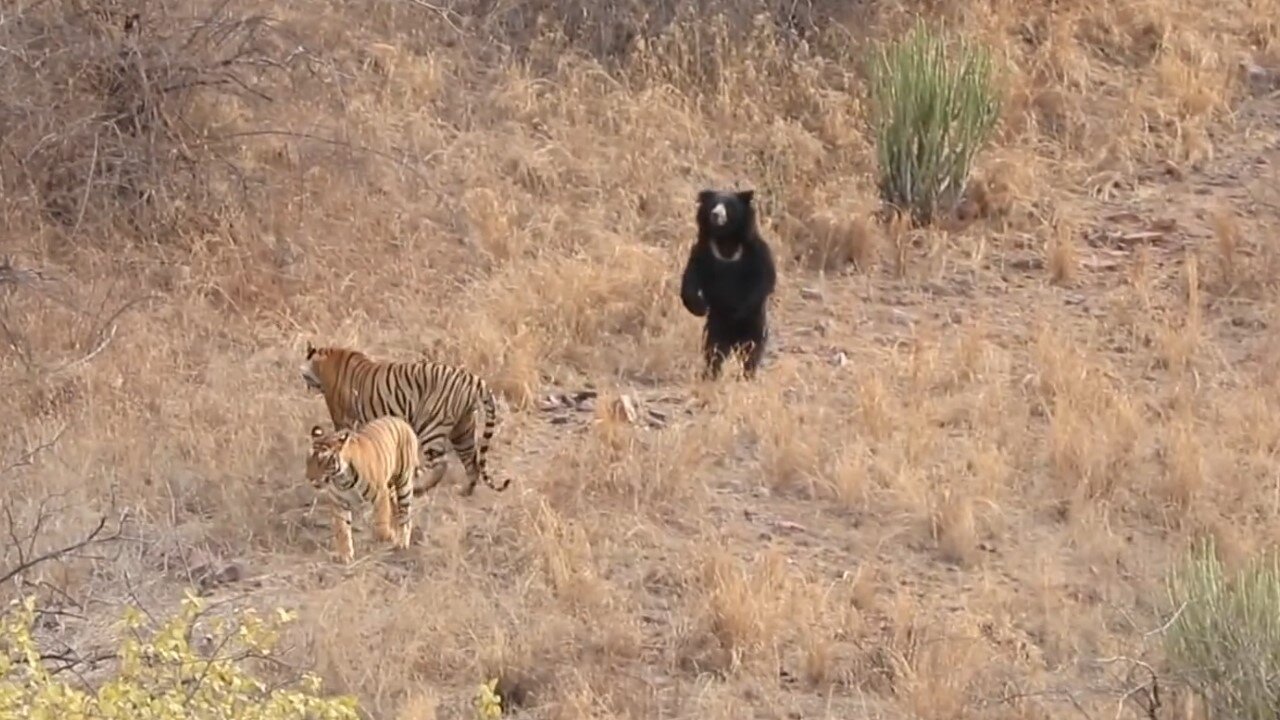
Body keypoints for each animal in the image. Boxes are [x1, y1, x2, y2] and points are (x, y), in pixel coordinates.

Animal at [302, 340, 512, 491]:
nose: (306, 386)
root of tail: (473, 380)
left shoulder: (342, 417)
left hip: (431, 425)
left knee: (440, 464)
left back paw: (418, 488)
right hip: (463, 429)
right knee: (471, 462)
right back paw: (465, 491)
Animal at [303, 412, 419, 563]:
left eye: (322, 461)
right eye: (308, 460)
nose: (309, 477)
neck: (342, 478)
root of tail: (400, 420)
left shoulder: (380, 494)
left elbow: (381, 521)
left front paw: (387, 535)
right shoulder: (339, 502)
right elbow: (342, 530)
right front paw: (345, 556)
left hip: (403, 482)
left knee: (405, 514)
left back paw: (401, 542)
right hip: (391, 487)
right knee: (396, 509)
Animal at [680, 185, 778, 381]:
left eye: (729, 206)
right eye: (713, 204)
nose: (716, 215)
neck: (726, 239)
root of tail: (734, 340)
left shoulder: (757, 251)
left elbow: (764, 280)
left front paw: (737, 310)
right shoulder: (703, 250)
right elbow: (691, 277)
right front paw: (699, 307)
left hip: (755, 325)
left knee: (752, 351)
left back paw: (747, 376)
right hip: (715, 328)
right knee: (714, 351)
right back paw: (711, 374)